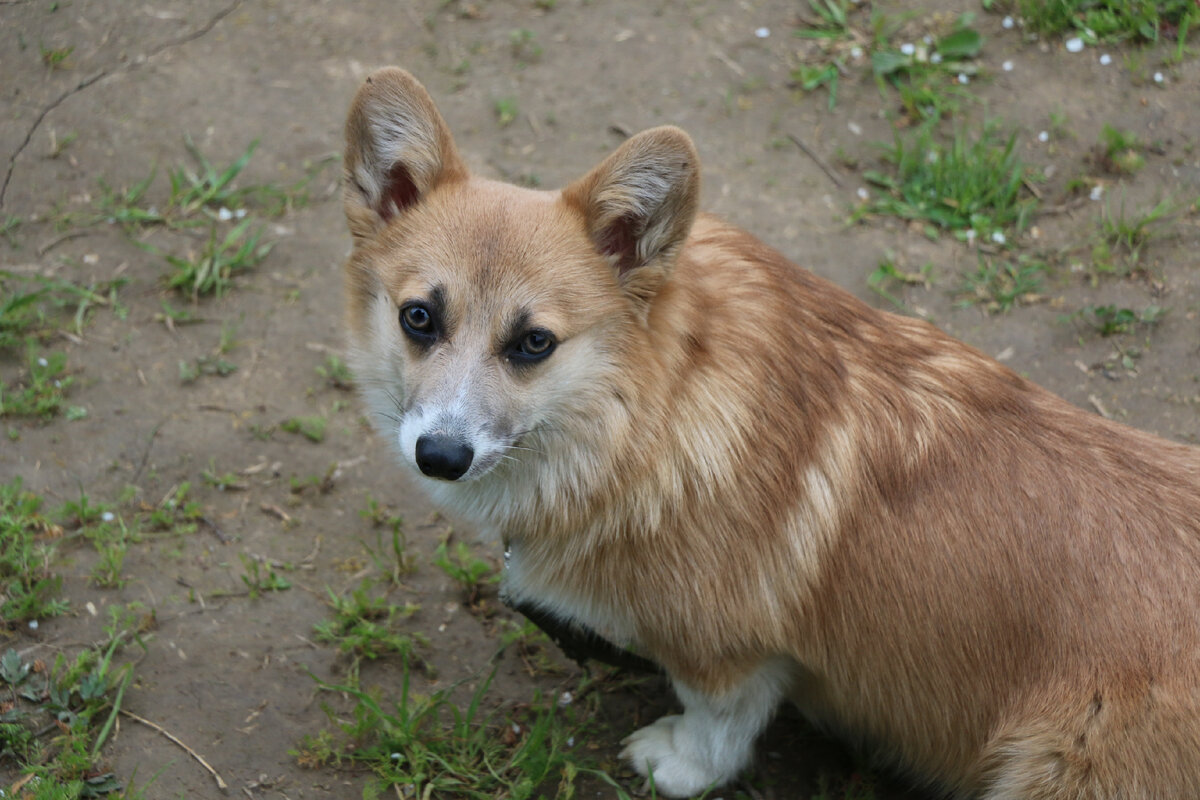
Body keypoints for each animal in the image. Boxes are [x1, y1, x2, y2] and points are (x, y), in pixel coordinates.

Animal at [338, 65, 1200, 796]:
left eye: (534, 343)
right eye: (419, 317)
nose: (441, 456)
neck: (650, 410)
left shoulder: (723, 650)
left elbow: (717, 724)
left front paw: (678, 763)